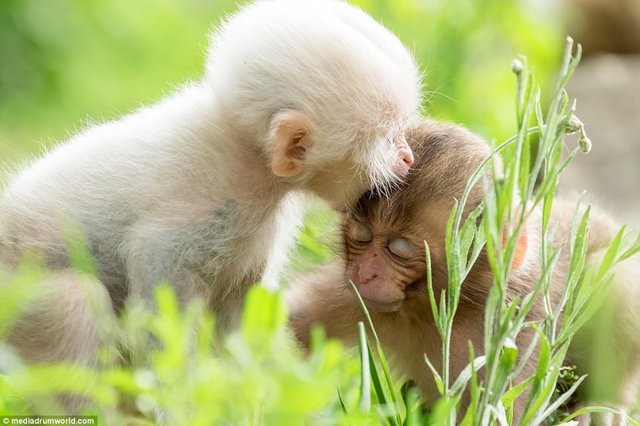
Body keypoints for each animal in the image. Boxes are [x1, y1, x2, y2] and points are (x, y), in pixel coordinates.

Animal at [290, 119, 640, 422]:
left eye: (399, 249)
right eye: (362, 234)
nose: (366, 274)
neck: (429, 309)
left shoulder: (507, 335)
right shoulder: (353, 297)